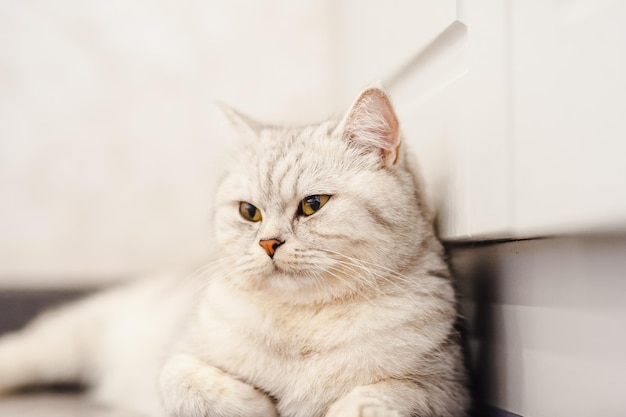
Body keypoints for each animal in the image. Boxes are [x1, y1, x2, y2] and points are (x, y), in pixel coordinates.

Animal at [0, 88, 466, 416]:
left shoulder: (441, 387)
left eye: (313, 205)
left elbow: (372, 402)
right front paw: (258, 405)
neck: (301, 322)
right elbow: (189, 385)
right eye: (249, 212)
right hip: (72, 338)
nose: (269, 243)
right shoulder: (177, 357)